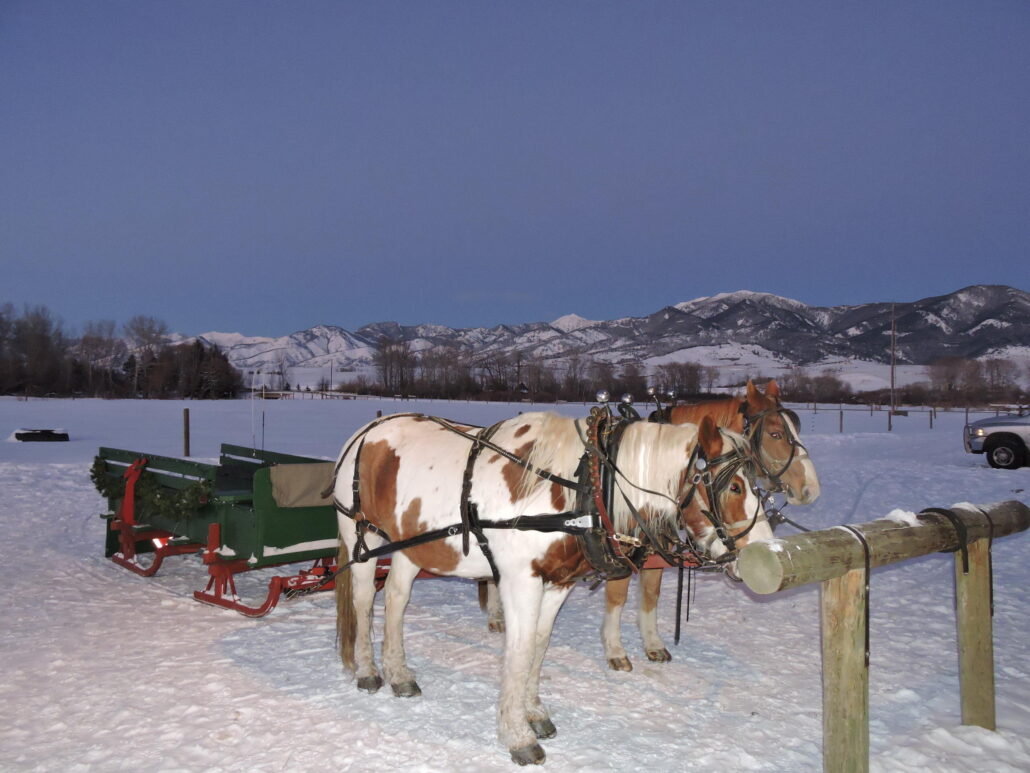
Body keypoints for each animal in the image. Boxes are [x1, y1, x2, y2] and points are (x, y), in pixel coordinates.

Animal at [332, 409, 772, 765]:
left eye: (757, 486)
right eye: (734, 487)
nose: (764, 555)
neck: (580, 489)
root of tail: (368, 430)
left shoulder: (558, 583)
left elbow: (539, 646)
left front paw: (534, 712)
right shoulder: (519, 582)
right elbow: (520, 649)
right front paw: (517, 735)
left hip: (410, 547)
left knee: (396, 600)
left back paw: (399, 673)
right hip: (363, 538)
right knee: (364, 600)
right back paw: (369, 671)